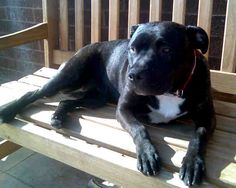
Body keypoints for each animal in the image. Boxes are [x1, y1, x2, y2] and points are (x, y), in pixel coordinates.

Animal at [0, 21, 215, 186]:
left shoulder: (207, 117)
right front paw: (147, 154)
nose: (133, 75)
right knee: (33, 93)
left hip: (95, 99)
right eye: (132, 49)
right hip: (68, 77)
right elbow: (139, 129)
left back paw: (57, 116)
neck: (171, 91)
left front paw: (192, 163)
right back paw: (8, 110)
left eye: (166, 50)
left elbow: (199, 135)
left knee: (67, 101)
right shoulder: (123, 109)